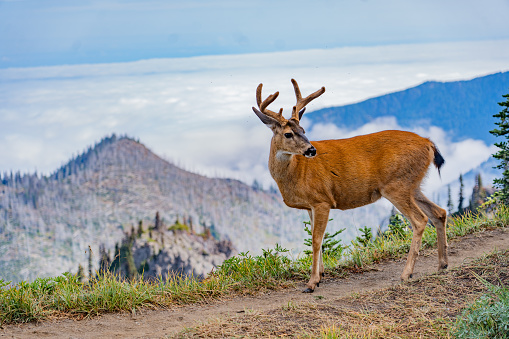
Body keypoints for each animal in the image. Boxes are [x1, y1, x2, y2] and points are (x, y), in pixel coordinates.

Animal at [252, 78, 446, 294]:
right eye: (288, 134)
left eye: (303, 131)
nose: (311, 150)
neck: (296, 173)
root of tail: (428, 143)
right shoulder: (310, 205)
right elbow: (317, 238)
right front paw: (321, 275)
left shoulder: (322, 200)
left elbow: (316, 240)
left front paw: (311, 283)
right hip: (414, 184)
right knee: (439, 212)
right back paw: (442, 264)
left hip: (397, 184)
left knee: (420, 220)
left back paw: (406, 274)